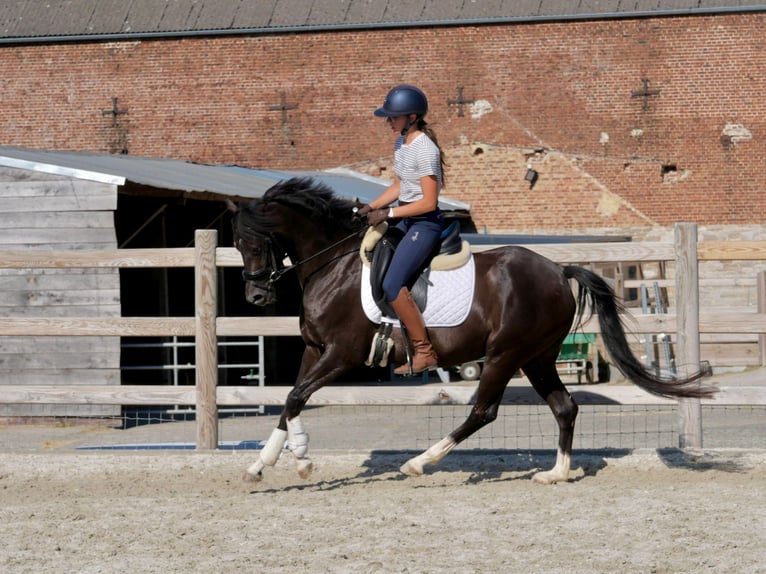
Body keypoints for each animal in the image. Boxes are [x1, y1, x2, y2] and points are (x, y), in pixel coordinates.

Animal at [228, 177, 716, 484]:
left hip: (504, 354)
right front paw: (268, 464)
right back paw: (555, 473)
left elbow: (295, 397)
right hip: (537, 357)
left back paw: (420, 463)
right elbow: (290, 401)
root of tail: (557, 271)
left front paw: (294, 462)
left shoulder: (342, 355)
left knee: (484, 411)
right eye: (236, 243)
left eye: (257, 241)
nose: (256, 297)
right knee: (564, 407)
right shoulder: (314, 350)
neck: (335, 265)